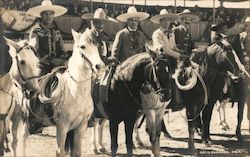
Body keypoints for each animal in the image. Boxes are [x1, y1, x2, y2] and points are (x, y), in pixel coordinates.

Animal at [38, 28, 105, 157]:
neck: (75, 93)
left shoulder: (80, 127)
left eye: (97, 45)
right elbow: (60, 152)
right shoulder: (62, 127)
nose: (99, 66)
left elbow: (77, 152)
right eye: (82, 46)